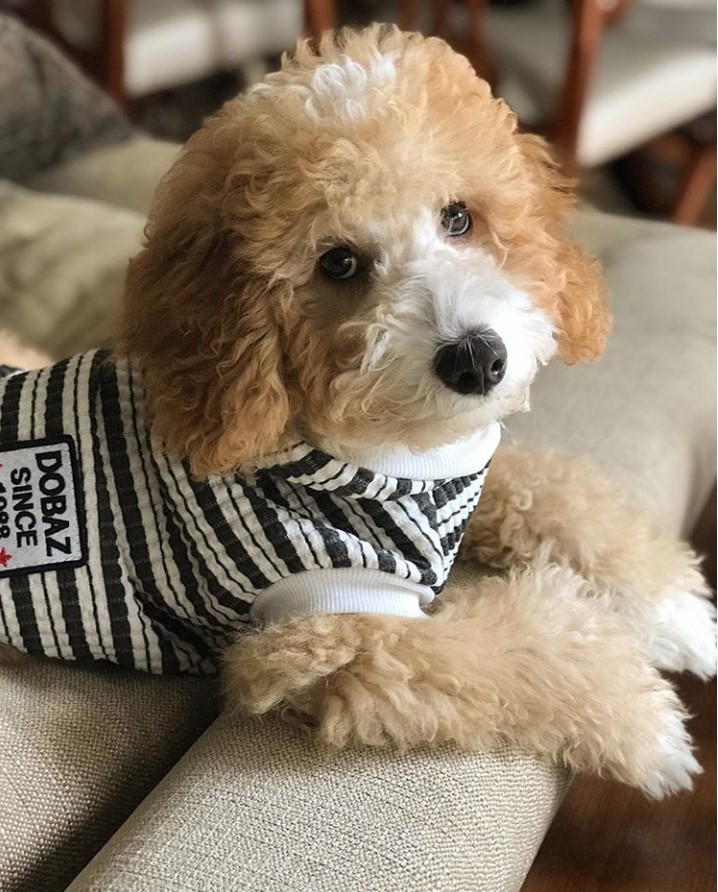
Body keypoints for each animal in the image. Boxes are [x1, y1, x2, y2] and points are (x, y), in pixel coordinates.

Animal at [0, 27, 716, 796]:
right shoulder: (337, 630)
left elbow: (554, 491)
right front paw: (646, 724)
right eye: (338, 263)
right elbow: (515, 651)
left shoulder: (453, 479)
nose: (477, 360)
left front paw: (675, 609)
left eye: (459, 218)